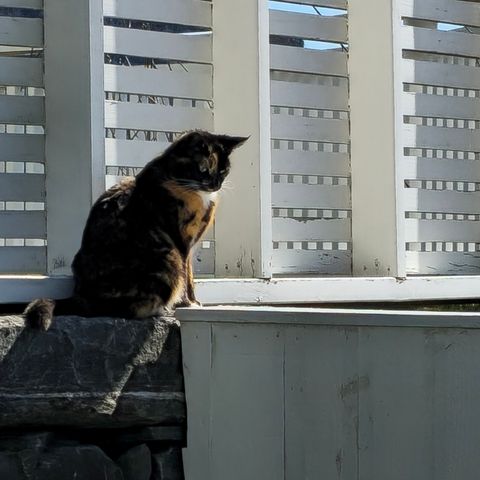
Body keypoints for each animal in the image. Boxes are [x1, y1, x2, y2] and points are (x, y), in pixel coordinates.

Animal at [23, 129, 248, 330]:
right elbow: (186, 279)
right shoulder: (182, 243)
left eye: (223, 171)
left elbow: (191, 277)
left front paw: (194, 302)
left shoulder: (190, 247)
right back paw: (164, 310)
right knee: (128, 310)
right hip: (168, 258)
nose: (216, 184)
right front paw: (188, 304)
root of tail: (81, 295)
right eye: (203, 170)